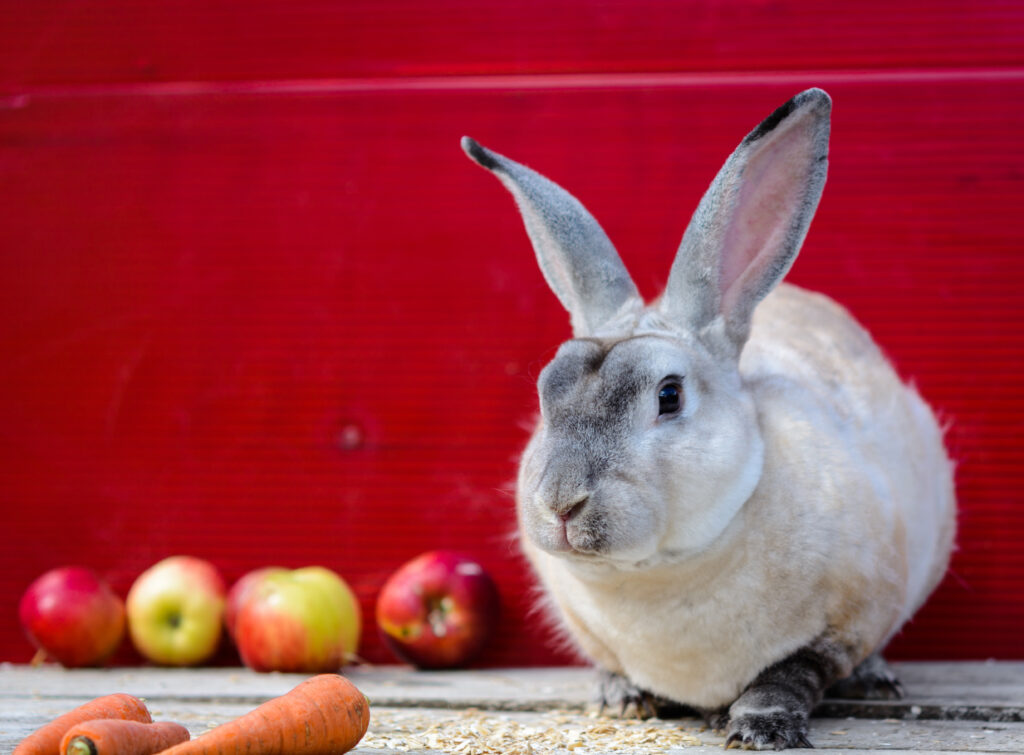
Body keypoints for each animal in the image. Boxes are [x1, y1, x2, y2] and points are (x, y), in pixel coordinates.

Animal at [460, 88, 954, 749]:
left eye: (669, 396)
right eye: (546, 391)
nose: (562, 504)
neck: (660, 576)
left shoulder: (846, 623)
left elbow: (792, 671)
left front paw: (759, 727)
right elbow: (611, 664)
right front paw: (621, 698)